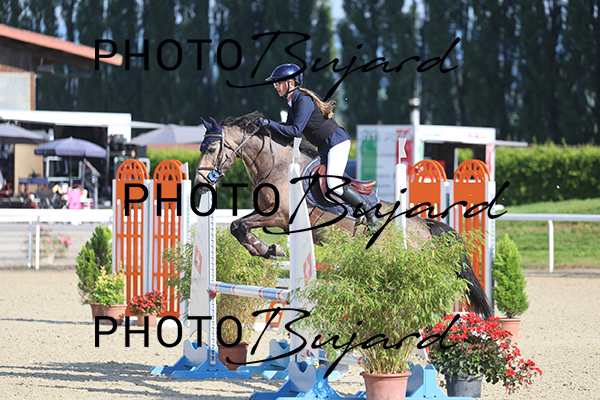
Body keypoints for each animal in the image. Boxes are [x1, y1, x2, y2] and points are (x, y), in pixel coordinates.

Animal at [194, 111, 492, 319]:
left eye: (212, 148)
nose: (200, 184)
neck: (276, 166)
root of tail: (426, 227)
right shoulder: (267, 213)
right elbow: (238, 225)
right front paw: (265, 249)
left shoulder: (281, 217)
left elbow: (238, 225)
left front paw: (268, 248)